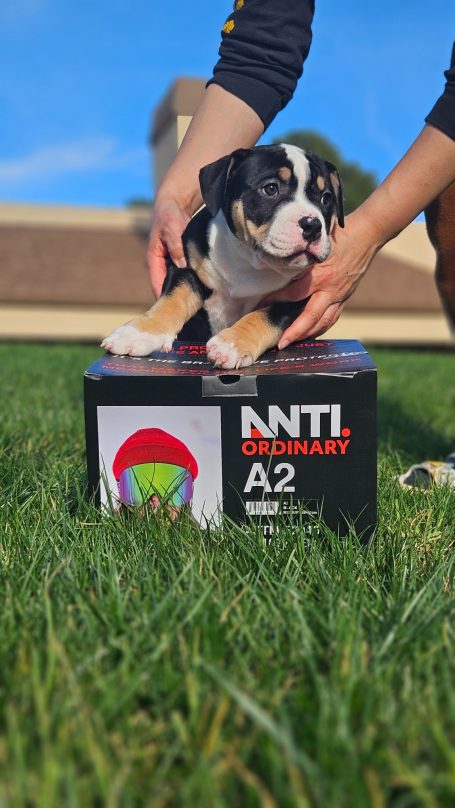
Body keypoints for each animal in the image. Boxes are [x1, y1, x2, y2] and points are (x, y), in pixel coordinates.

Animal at [101, 145, 344, 370]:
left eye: (326, 198)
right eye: (270, 189)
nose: (312, 225)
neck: (250, 261)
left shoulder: (301, 296)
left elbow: (266, 315)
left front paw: (233, 344)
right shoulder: (186, 267)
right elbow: (171, 300)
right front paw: (137, 334)